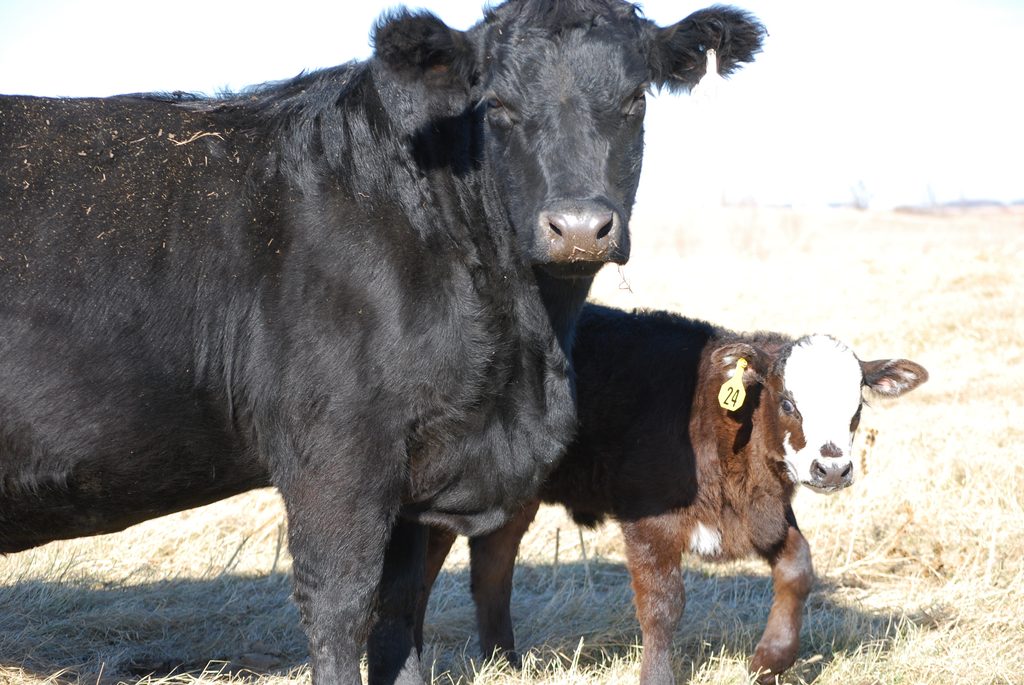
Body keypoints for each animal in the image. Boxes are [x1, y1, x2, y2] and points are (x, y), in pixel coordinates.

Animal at [0, 2, 765, 683]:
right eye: (497, 106)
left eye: (635, 100)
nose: (579, 227)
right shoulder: (337, 457)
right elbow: (341, 608)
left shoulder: (413, 474)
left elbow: (400, 613)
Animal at [418, 304, 928, 685]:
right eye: (788, 403)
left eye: (857, 408)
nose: (832, 468)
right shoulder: (649, 521)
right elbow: (663, 605)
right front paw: (658, 677)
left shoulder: (761, 513)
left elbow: (798, 567)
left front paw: (771, 660)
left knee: (492, 567)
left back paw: (504, 662)